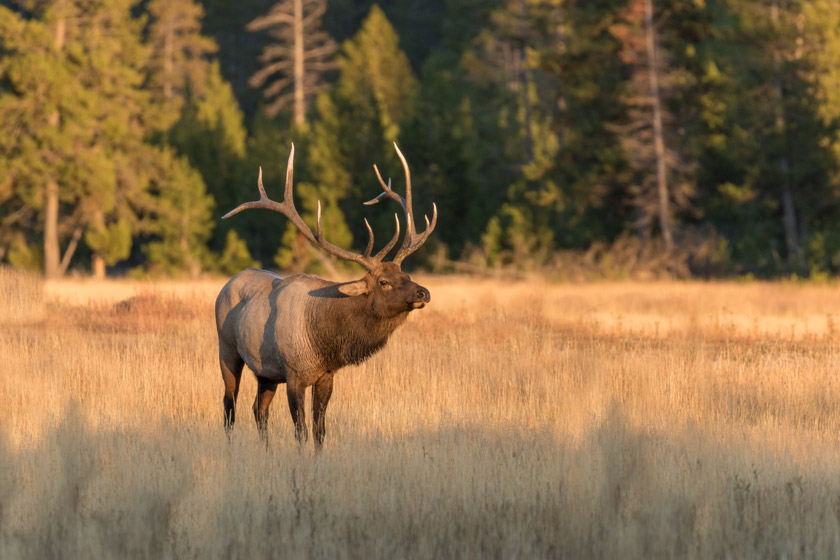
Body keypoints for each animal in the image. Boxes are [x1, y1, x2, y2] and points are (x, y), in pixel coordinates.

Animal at [217, 144, 436, 446]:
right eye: (383, 281)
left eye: (406, 275)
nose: (423, 292)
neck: (323, 340)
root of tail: (227, 284)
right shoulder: (294, 375)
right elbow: (301, 430)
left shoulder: (326, 376)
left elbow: (320, 430)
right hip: (227, 350)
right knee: (229, 406)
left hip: (265, 372)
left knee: (258, 410)